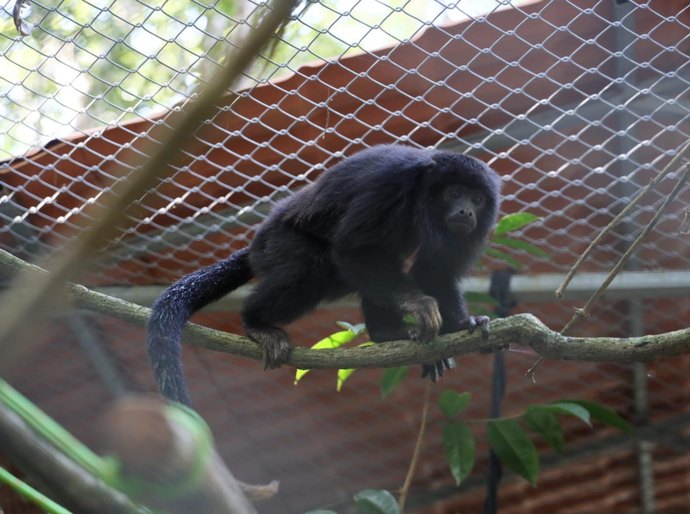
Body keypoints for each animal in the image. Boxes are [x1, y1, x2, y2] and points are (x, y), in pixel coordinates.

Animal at [147, 144, 501, 405]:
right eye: (454, 193)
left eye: (478, 199)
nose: (466, 211)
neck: (423, 195)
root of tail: (258, 241)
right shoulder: (391, 185)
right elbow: (353, 248)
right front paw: (418, 304)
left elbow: (436, 270)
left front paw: (462, 324)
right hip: (280, 243)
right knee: (318, 266)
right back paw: (256, 322)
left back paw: (386, 334)